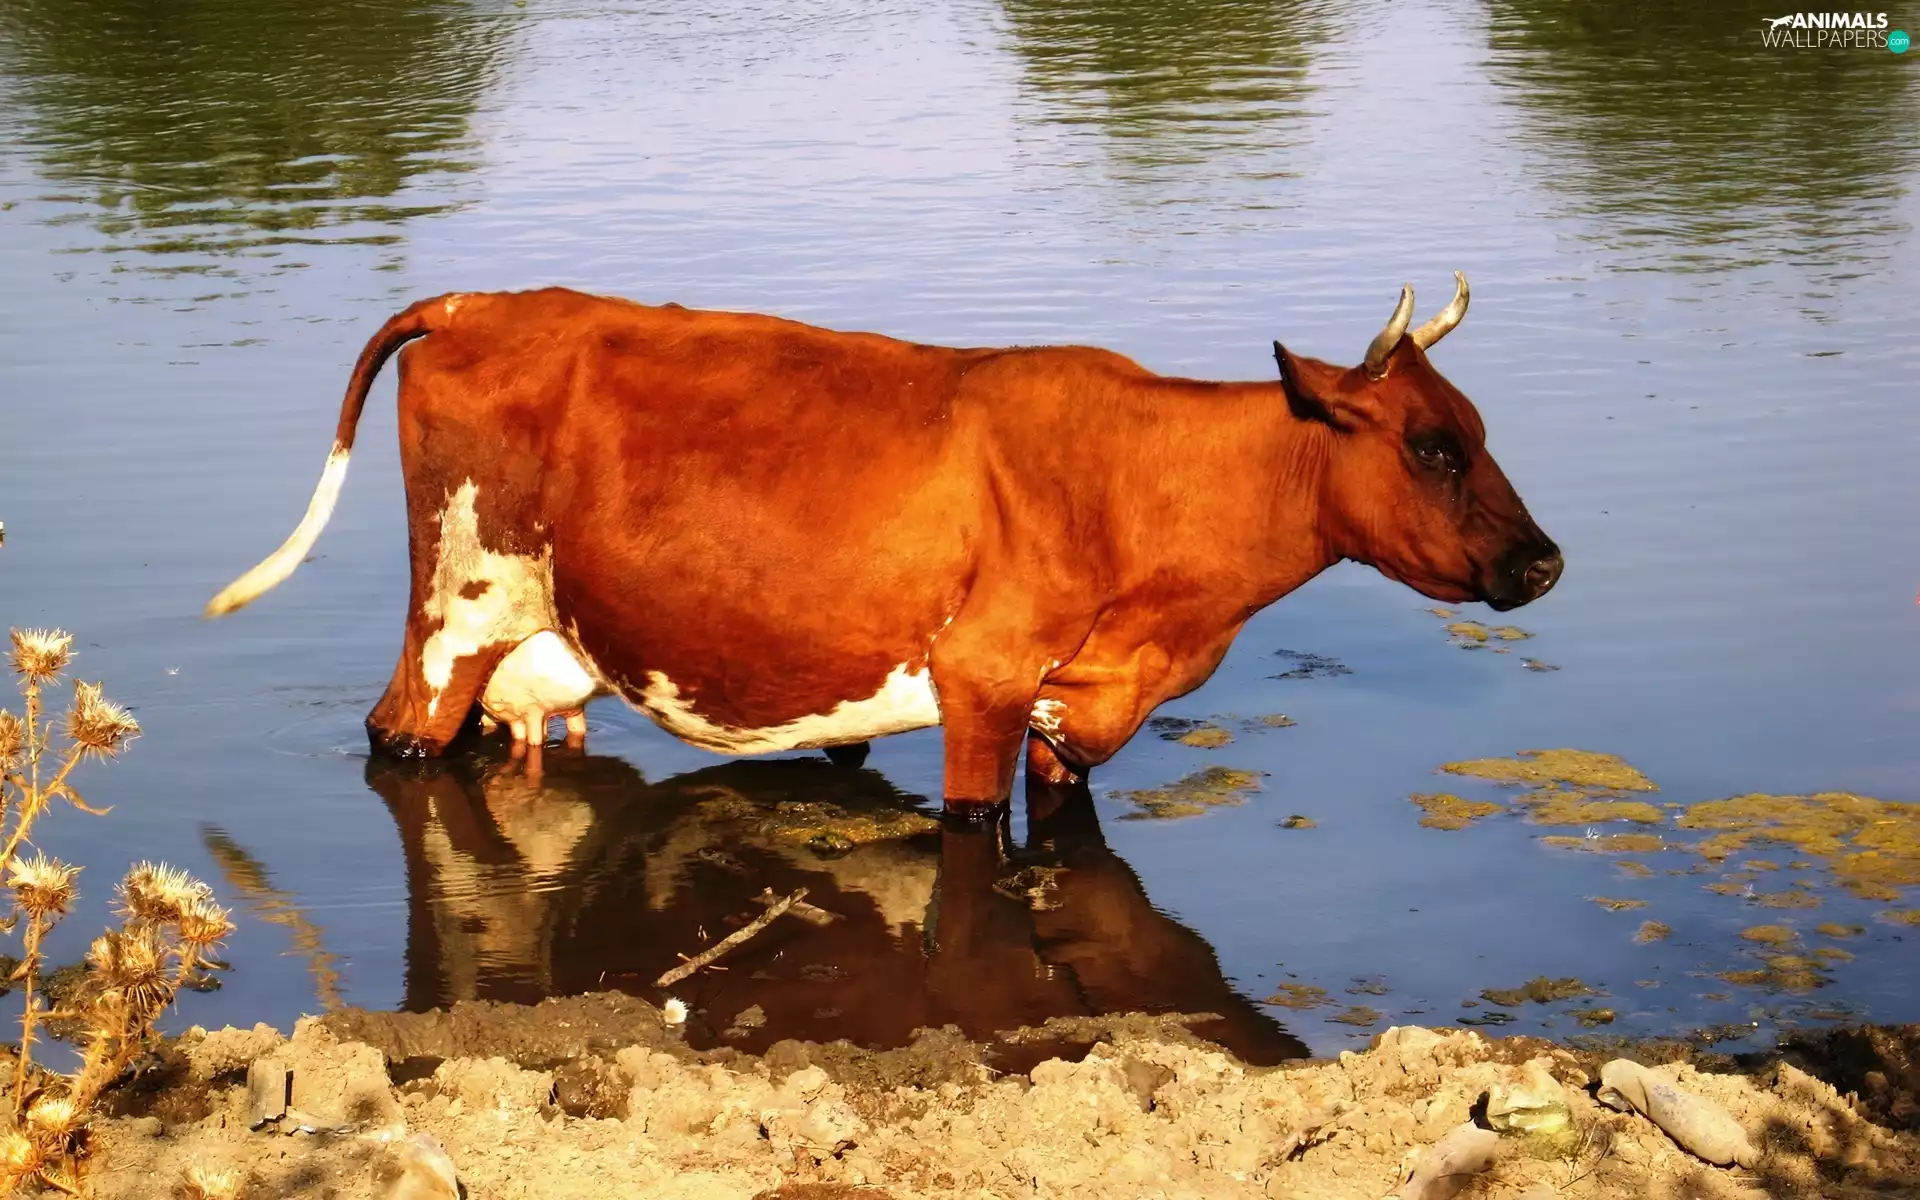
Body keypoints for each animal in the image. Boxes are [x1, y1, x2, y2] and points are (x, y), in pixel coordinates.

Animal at [205, 274, 1562, 813]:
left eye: (1480, 430)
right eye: (1433, 446)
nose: (1543, 563)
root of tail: (478, 301)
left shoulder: (1071, 714)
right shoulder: (983, 684)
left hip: (531, 647)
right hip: (457, 608)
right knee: (398, 738)